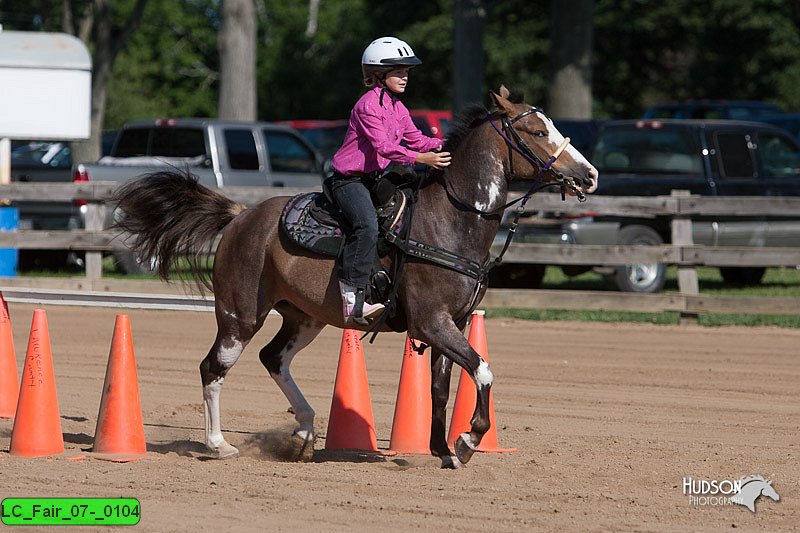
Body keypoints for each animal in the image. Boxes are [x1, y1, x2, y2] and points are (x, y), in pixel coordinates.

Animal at [114, 85, 600, 468]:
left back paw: (305, 432)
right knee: (213, 367)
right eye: (538, 132)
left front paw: (443, 451)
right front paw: (468, 440)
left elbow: (442, 389)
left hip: (303, 317)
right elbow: (482, 371)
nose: (589, 175)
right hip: (238, 316)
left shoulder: (455, 324)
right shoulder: (432, 323)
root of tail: (240, 216)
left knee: (273, 358)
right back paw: (218, 445)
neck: (448, 220)